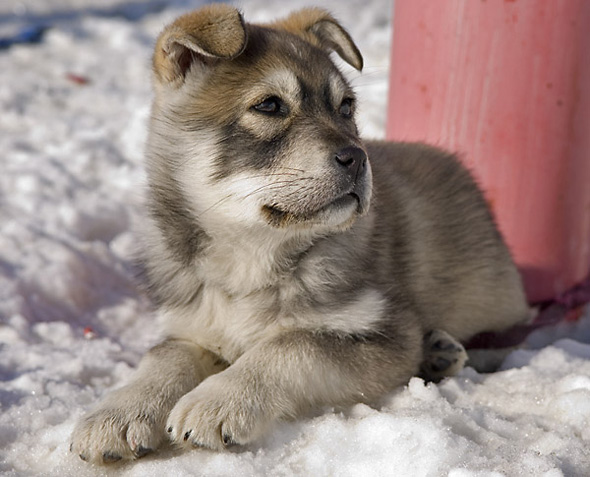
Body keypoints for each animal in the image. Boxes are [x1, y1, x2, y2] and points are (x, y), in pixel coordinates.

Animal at [70, 5, 532, 462]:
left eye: (346, 107)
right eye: (270, 105)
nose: (358, 158)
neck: (252, 255)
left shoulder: (384, 334)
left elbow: (292, 345)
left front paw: (218, 400)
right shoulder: (189, 325)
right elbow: (164, 357)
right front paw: (119, 410)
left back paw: (440, 351)